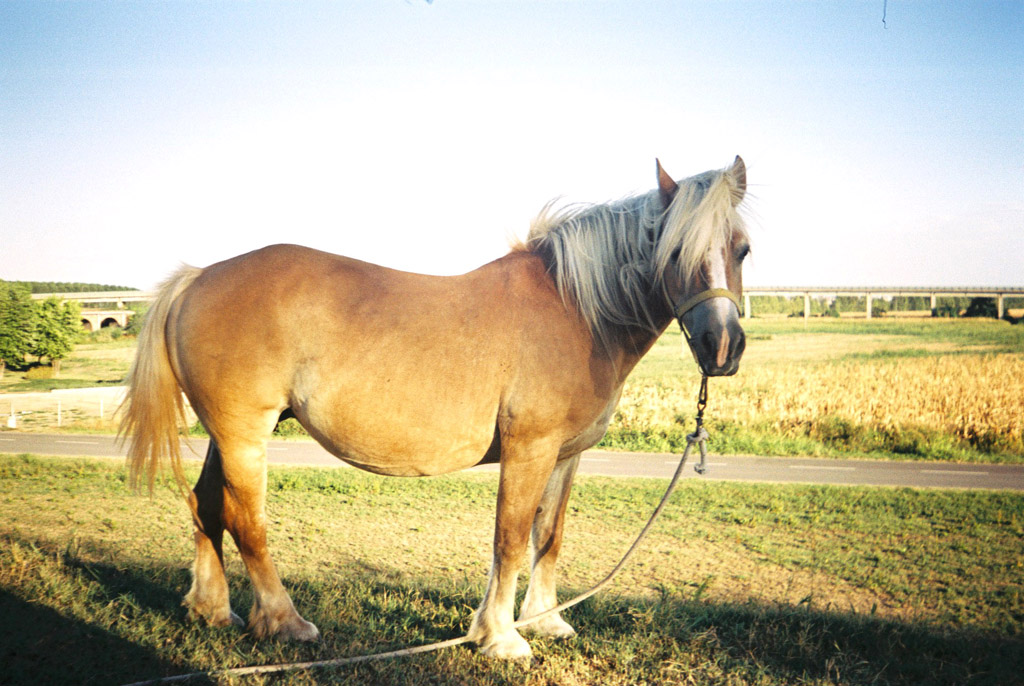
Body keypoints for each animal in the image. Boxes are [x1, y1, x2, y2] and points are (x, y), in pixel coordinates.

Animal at [119, 157, 750, 660]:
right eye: (674, 251)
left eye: (741, 249)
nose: (721, 346)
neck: (576, 309)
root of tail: (199, 277)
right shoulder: (530, 448)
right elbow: (509, 537)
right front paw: (502, 637)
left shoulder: (566, 454)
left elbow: (548, 533)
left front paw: (543, 621)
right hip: (245, 434)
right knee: (247, 521)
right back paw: (285, 622)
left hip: (224, 436)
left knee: (205, 506)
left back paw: (211, 609)